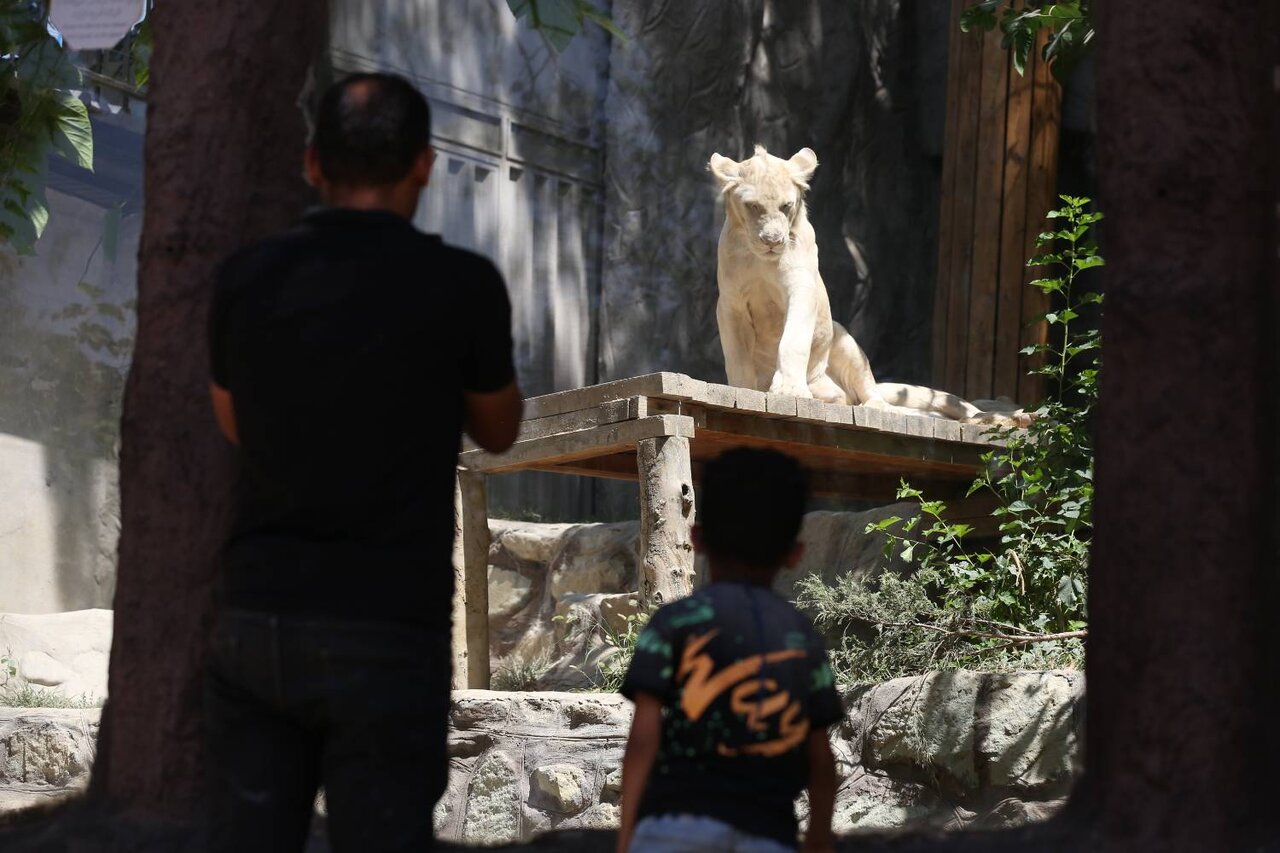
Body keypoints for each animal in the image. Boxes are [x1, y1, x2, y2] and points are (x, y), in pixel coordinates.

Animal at [706, 144, 1034, 432]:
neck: (760, 258)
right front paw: (743, 390)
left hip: (845, 340)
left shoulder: (801, 288)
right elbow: (736, 354)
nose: (773, 241)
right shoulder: (731, 304)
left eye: (786, 206)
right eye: (753, 206)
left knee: (881, 398)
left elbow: (793, 339)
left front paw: (789, 389)